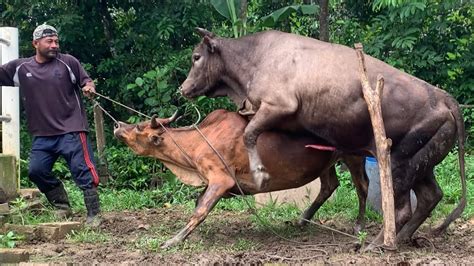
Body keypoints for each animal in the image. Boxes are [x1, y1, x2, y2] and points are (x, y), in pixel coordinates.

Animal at [114, 109, 366, 248]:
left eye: (139, 127)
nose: (117, 125)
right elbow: (198, 203)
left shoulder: (221, 179)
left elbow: (200, 210)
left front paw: (174, 240)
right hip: (327, 163)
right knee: (329, 186)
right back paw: (303, 219)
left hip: (354, 156)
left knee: (363, 187)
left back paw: (358, 226)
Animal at [181, 28, 466, 246]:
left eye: (196, 57)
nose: (182, 88)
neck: (254, 58)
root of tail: (445, 98)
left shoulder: (278, 105)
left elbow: (250, 133)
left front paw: (260, 174)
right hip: (420, 164)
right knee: (430, 197)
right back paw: (399, 237)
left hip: (399, 163)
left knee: (402, 208)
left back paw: (377, 244)